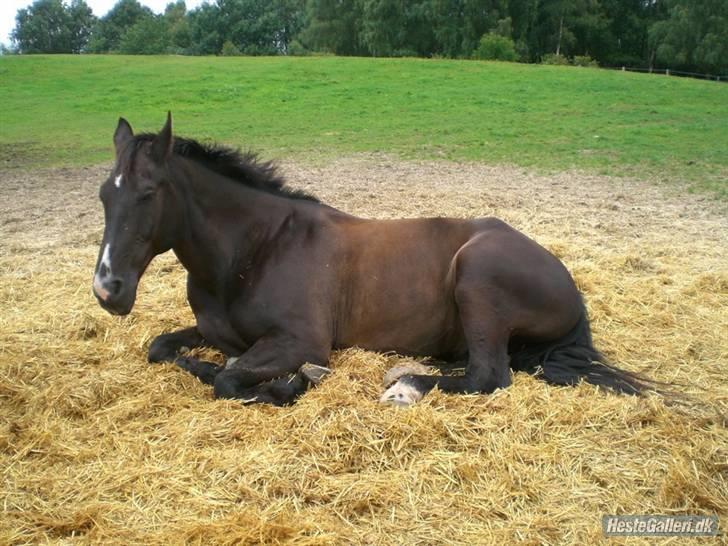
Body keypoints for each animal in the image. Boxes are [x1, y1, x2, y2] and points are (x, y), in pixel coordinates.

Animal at [91, 113, 648, 404]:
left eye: (148, 193)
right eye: (103, 195)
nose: (107, 289)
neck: (255, 249)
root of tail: (568, 286)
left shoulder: (301, 341)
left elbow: (228, 378)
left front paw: (294, 381)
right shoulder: (214, 331)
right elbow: (163, 349)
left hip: (477, 276)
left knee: (488, 377)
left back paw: (404, 385)